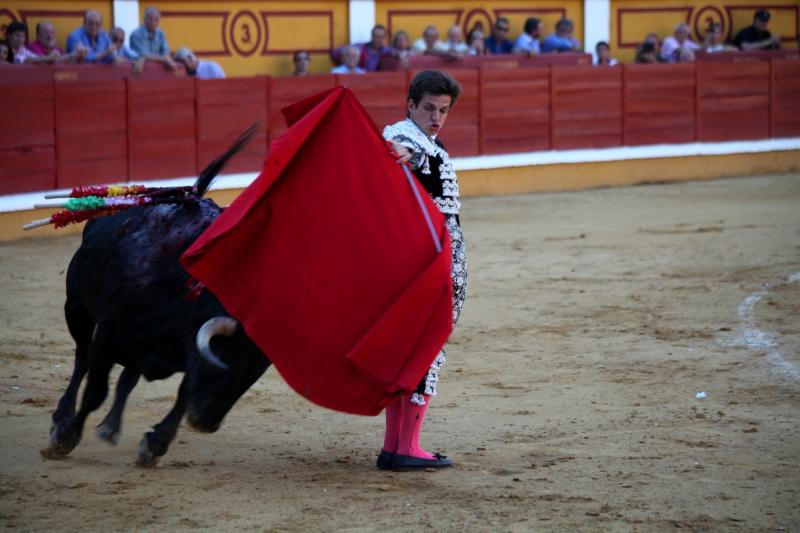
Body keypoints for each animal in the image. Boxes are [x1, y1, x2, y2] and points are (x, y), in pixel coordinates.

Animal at [40, 129, 272, 466]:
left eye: (252, 376)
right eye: (227, 360)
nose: (206, 423)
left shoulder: (186, 353)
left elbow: (183, 393)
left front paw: (155, 444)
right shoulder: (107, 333)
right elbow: (95, 390)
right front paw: (65, 437)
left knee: (128, 375)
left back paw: (111, 426)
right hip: (76, 307)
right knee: (82, 358)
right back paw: (63, 416)